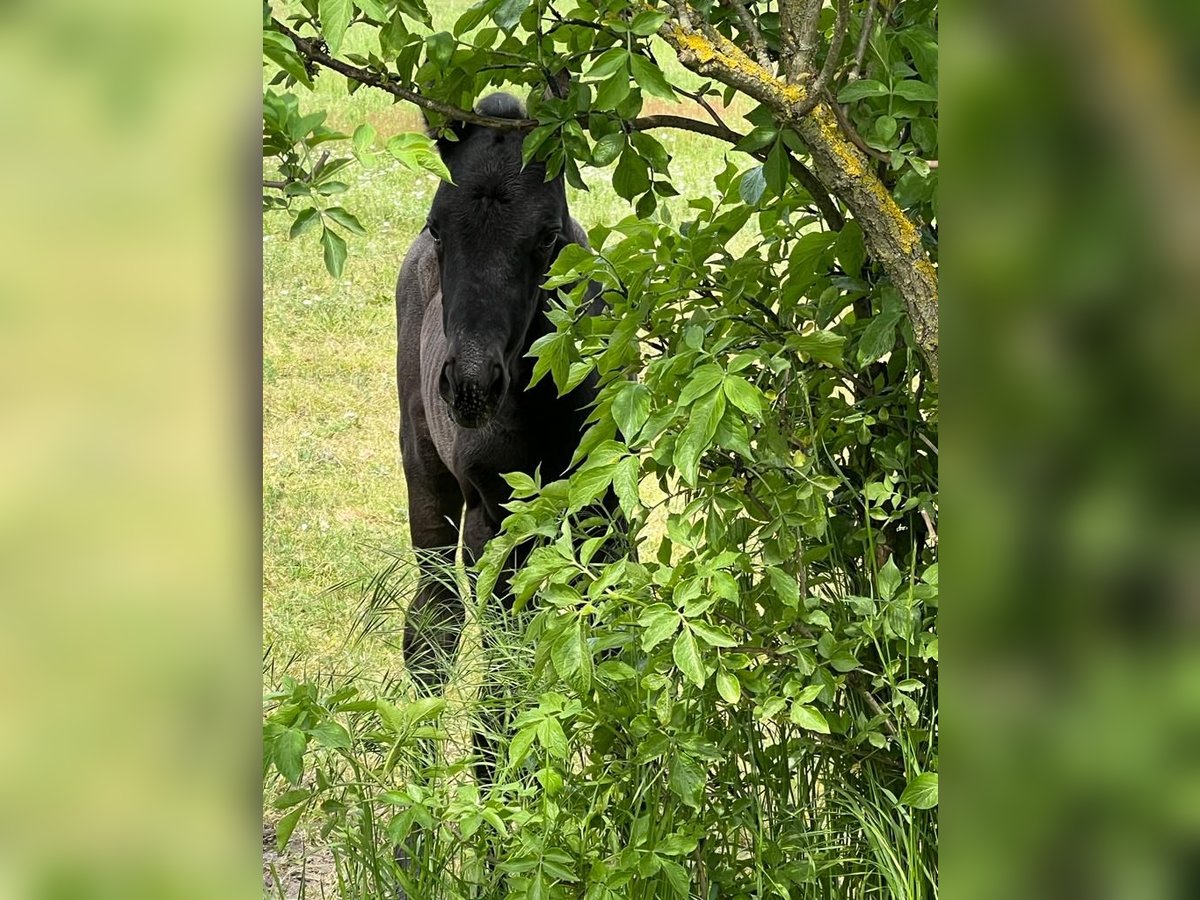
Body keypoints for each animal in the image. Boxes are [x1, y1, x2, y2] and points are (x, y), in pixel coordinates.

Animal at [393, 93, 600, 739]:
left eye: (548, 235)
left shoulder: (605, 504)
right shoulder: (496, 523)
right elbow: (507, 676)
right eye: (438, 225)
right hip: (426, 473)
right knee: (433, 624)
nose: (470, 386)